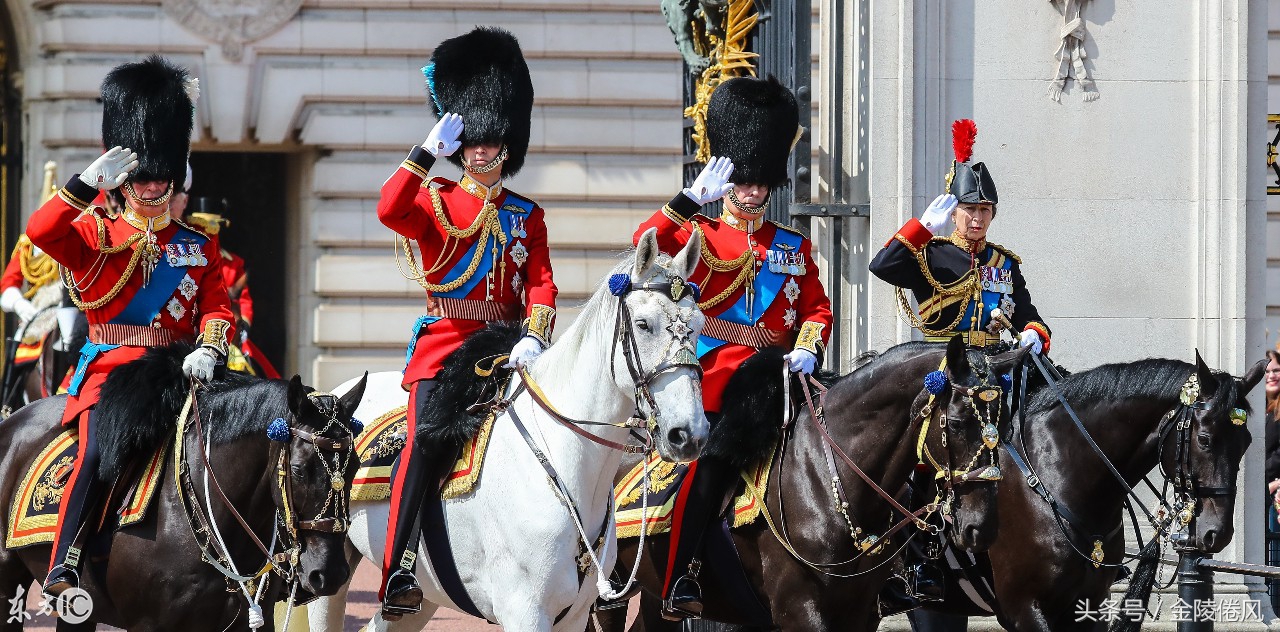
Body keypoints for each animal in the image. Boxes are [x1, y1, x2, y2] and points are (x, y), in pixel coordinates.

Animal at [308, 227, 711, 632]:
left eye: (698, 326)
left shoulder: (574, 616)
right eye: (643, 324)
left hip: (423, 599)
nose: (688, 433)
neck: (565, 462)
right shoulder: (525, 611)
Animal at [596, 335, 1029, 632]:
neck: (826, 480)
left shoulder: (859, 614)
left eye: (1005, 424)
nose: (981, 528)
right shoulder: (800, 611)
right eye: (955, 423)